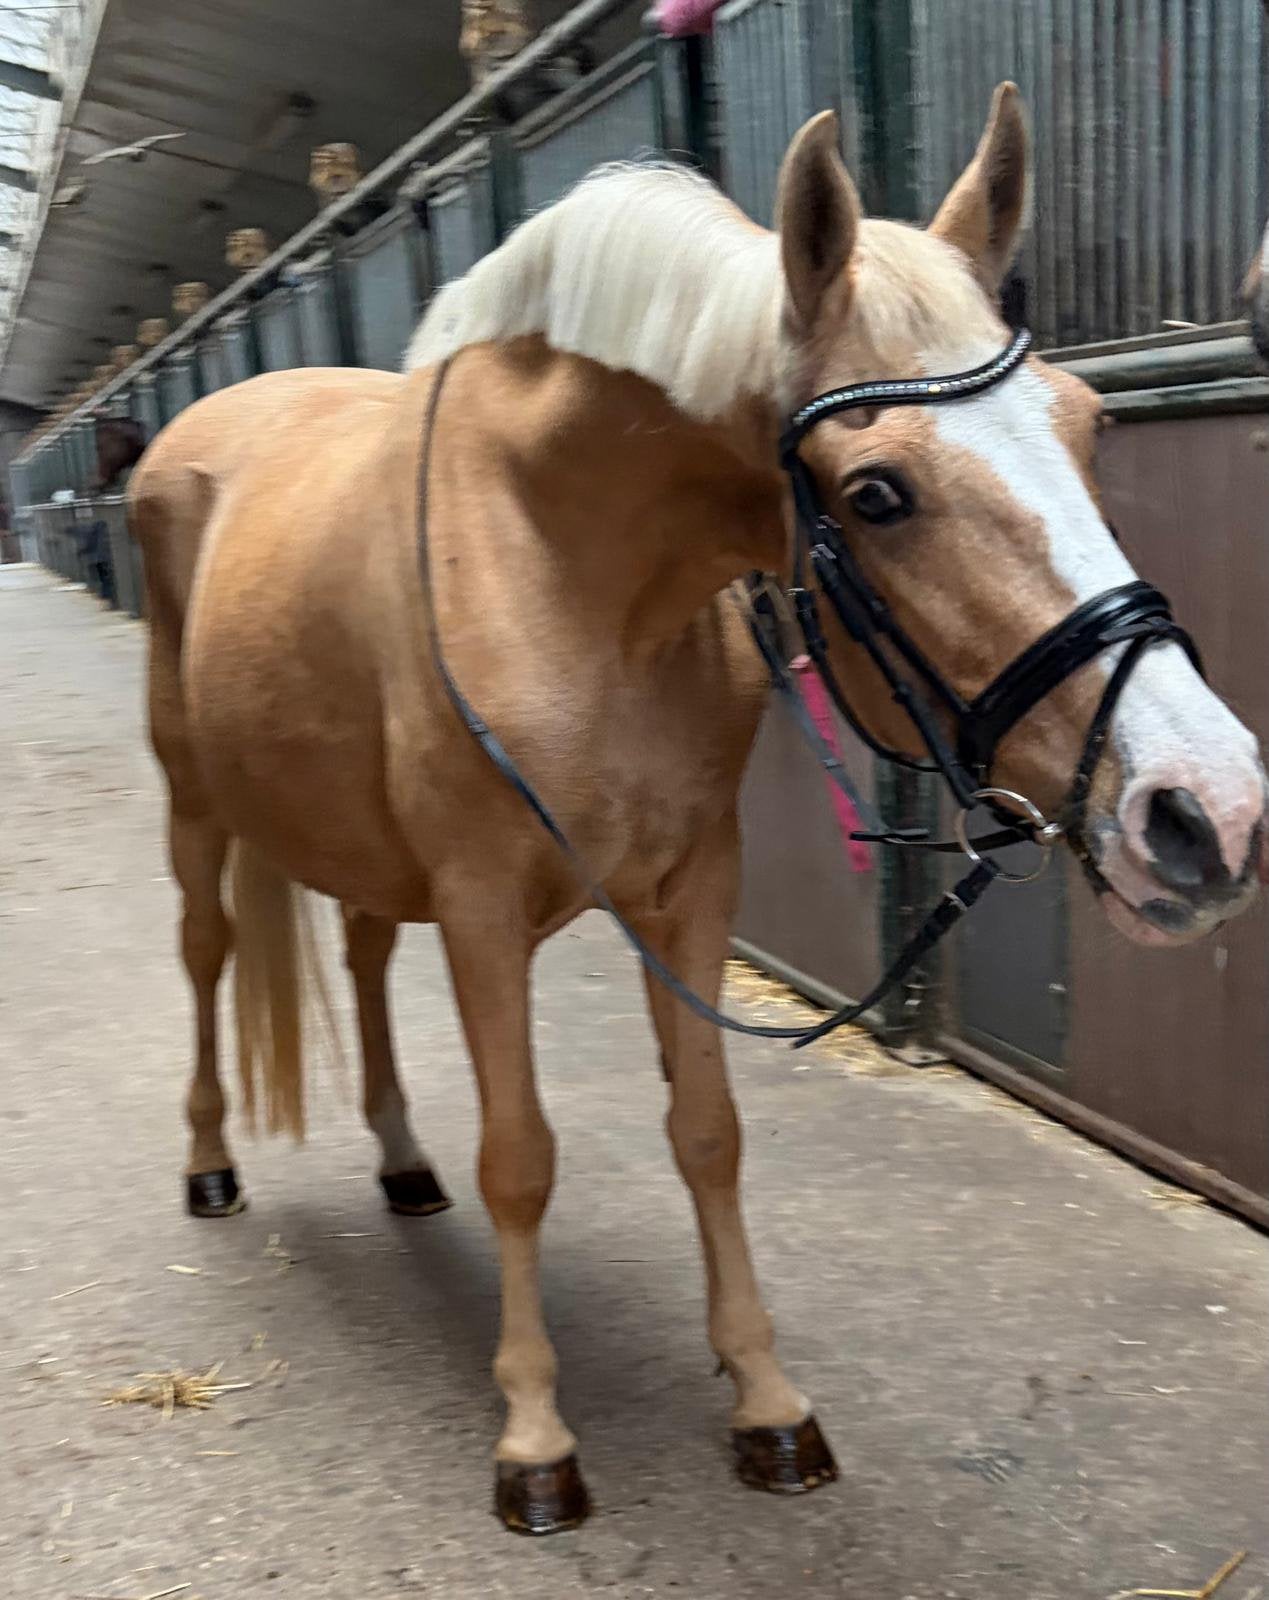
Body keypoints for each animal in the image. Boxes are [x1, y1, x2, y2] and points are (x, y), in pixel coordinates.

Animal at [127, 85, 1266, 1534]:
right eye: (878, 492)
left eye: (1083, 425)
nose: (1206, 809)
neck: (567, 575)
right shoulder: (483, 906)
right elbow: (521, 1155)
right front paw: (535, 1439)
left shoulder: (690, 886)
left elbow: (709, 1134)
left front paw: (767, 1405)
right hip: (195, 806)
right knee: (206, 956)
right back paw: (210, 1163)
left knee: (366, 953)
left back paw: (398, 1160)